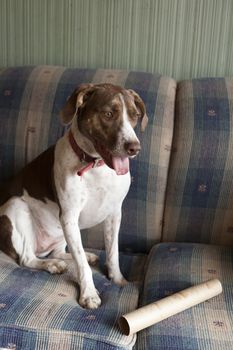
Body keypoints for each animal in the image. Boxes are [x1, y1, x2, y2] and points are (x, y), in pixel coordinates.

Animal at [0, 83, 147, 308]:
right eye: (108, 114)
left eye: (135, 115)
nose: (134, 148)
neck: (95, 166)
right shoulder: (69, 216)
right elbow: (82, 266)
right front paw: (89, 294)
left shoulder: (114, 214)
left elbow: (112, 253)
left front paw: (118, 280)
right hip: (16, 206)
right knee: (27, 258)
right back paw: (52, 264)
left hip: (59, 231)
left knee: (60, 251)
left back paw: (79, 256)